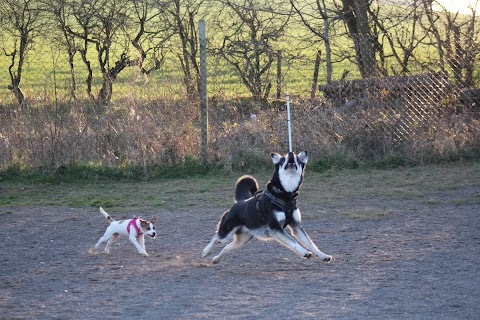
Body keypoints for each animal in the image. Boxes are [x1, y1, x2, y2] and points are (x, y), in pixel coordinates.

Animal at [201, 151, 332, 264]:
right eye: (283, 159)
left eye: (297, 159)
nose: (291, 153)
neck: (285, 195)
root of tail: (240, 202)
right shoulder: (276, 228)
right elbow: (293, 242)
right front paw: (304, 252)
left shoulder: (296, 226)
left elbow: (311, 243)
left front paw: (323, 255)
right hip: (227, 232)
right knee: (216, 237)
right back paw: (206, 252)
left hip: (243, 239)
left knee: (226, 247)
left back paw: (216, 259)